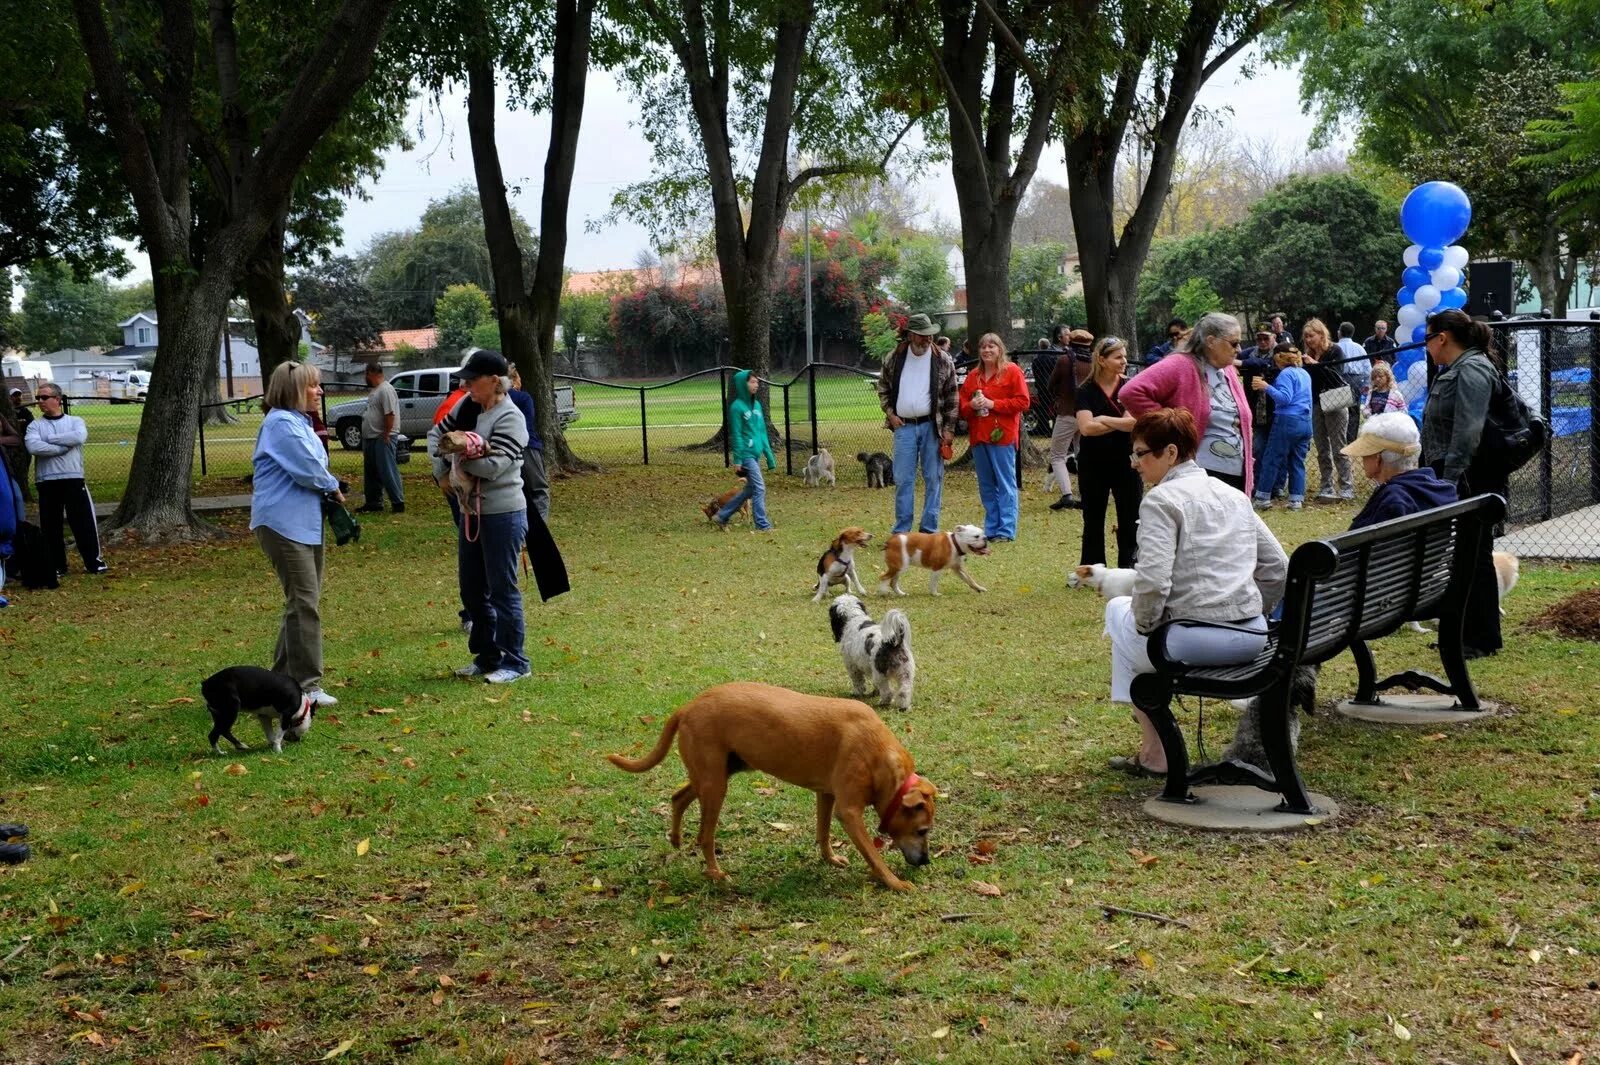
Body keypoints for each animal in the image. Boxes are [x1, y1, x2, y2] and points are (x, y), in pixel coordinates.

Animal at [608, 681, 934, 889]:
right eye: (922, 831)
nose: (926, 862)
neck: (880, 754)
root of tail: (688, 706)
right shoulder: (849, 812)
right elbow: (873, 855)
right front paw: (894, 882)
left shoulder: (826, 795)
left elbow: (823, 832)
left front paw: (829, 858)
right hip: (715, 786)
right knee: (704, 836)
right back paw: (715, 873)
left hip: (716, 773)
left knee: (678, 797)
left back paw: (676, 839)